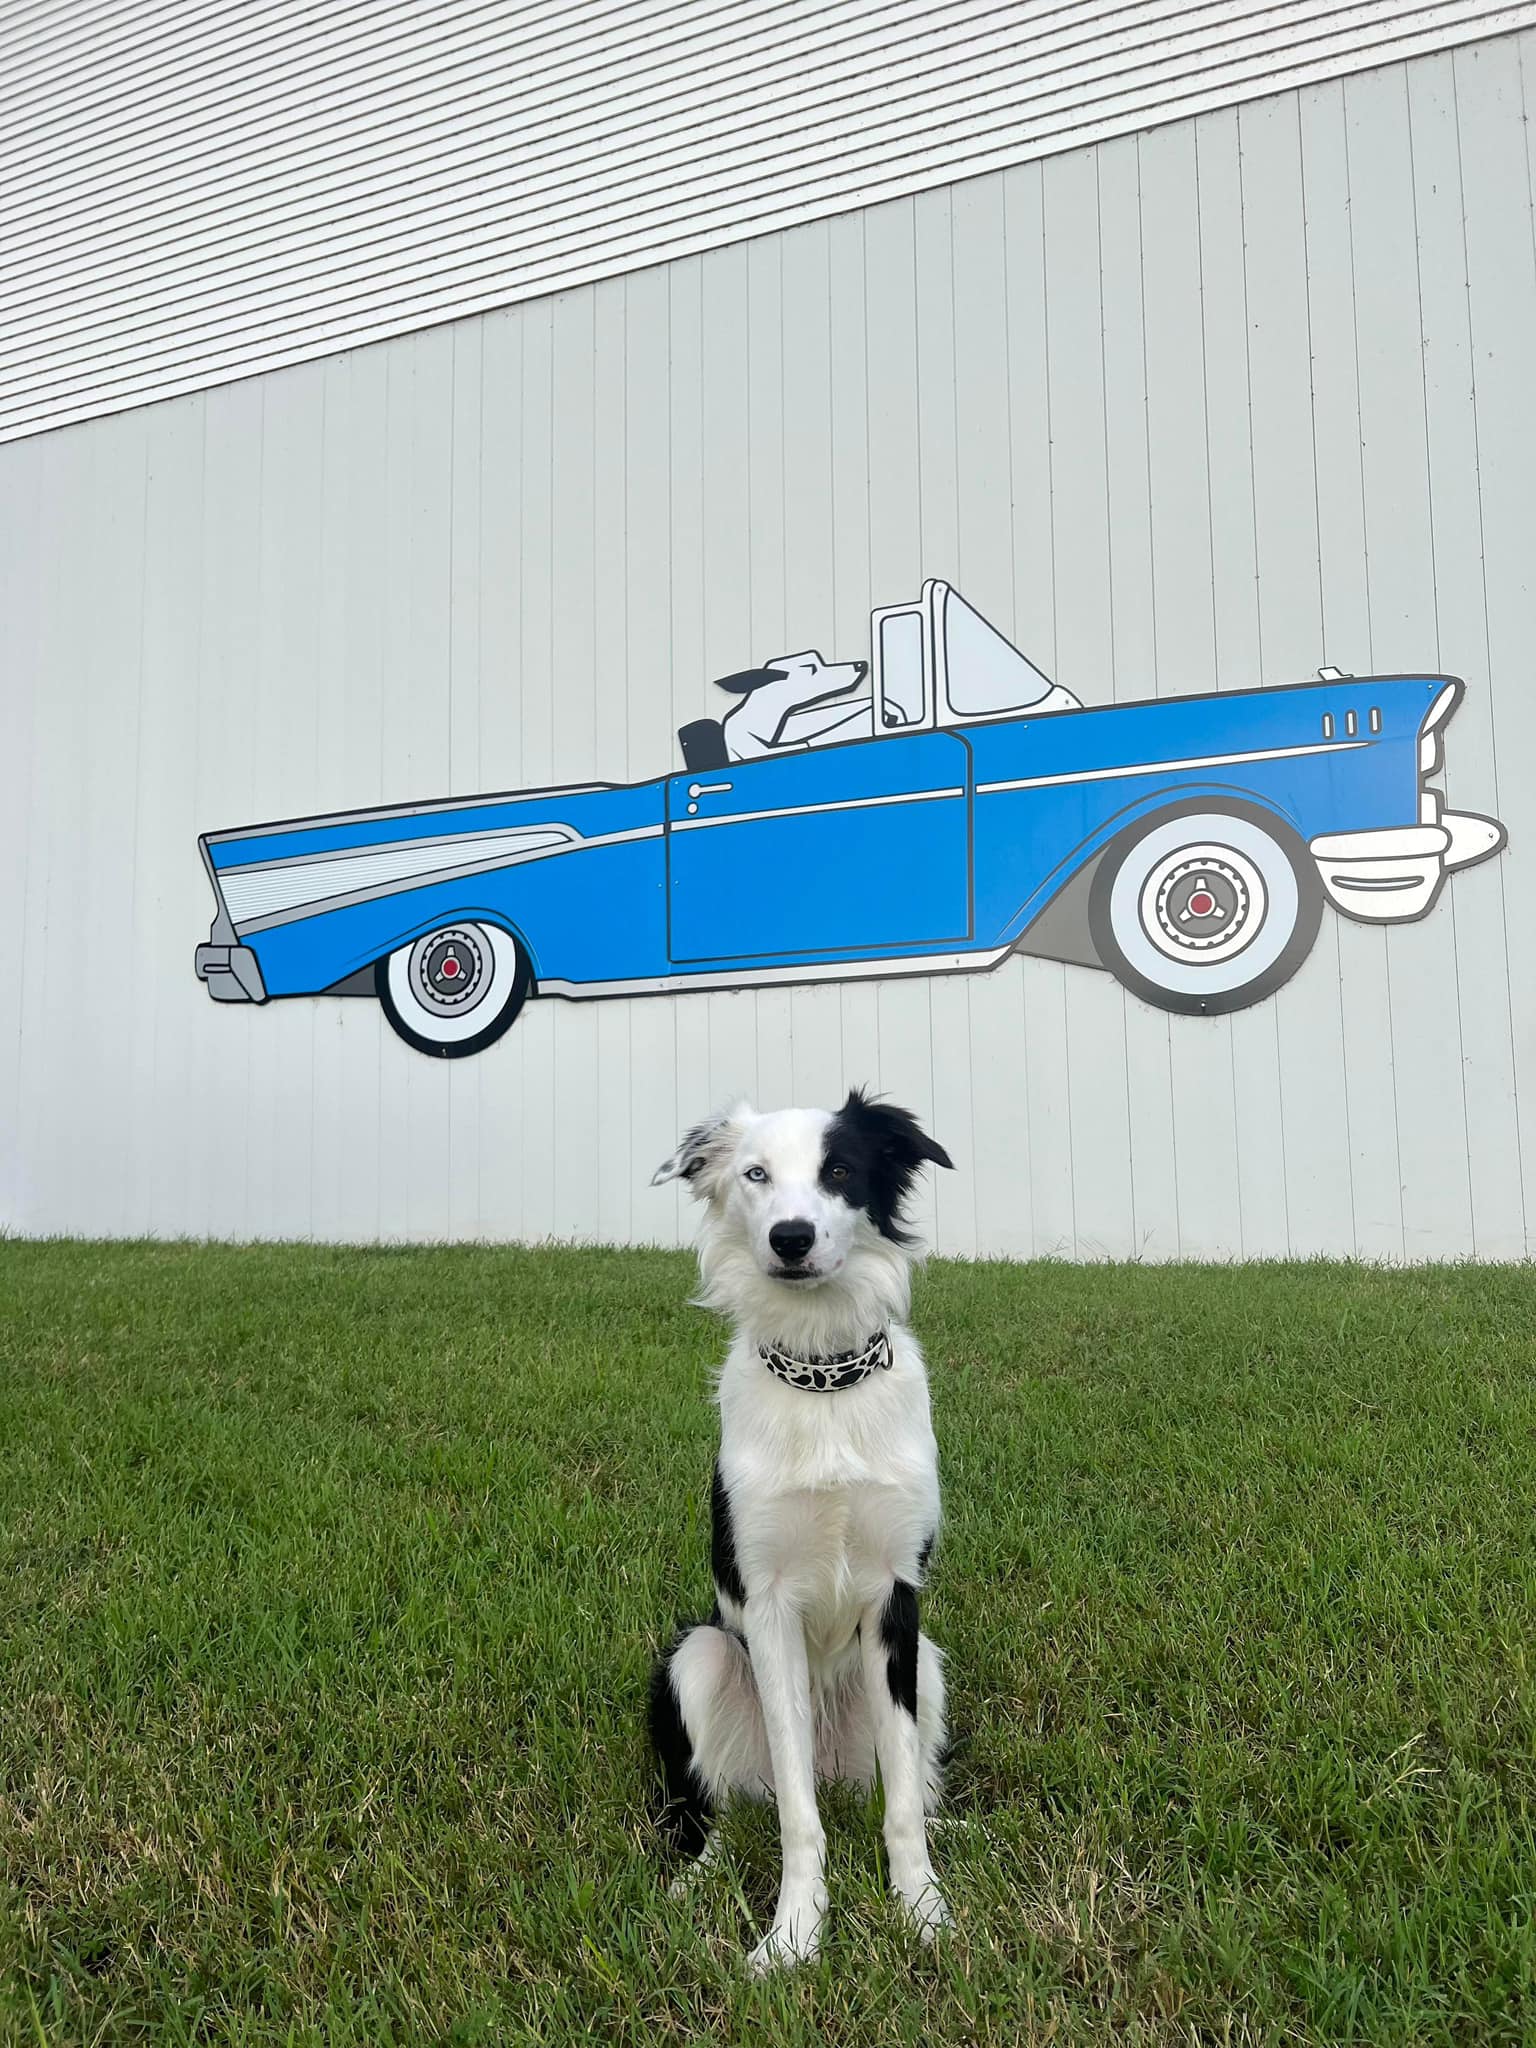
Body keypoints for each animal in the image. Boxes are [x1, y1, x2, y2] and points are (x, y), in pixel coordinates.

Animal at [648, 1088, 954, 1970]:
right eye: (756, 1174)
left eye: (841, 1171)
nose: (791, 1237)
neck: (825, 1382)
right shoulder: (770, 1605)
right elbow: (795, 1815)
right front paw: (793, 1935)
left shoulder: (895, 1599)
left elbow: (901, 1810)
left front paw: (922, 1910)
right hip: (699, 1655)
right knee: (719, 1810)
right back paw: (695, 1880)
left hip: (928, 1663)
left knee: (910, 1786)